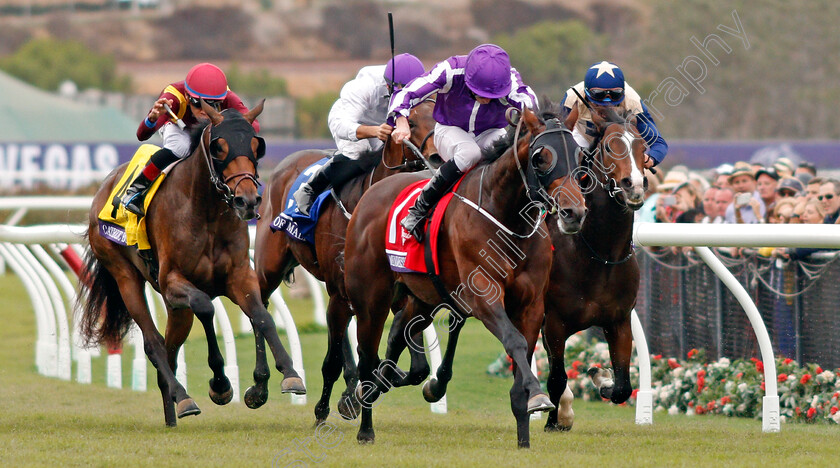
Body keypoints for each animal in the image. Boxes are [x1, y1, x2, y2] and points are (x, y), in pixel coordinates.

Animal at [78, 100, 306, 426]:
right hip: (125, 275)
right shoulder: (173, 281)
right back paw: (183, 397)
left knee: (170, 348)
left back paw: (171, 413)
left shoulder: (239, 276)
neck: (206, 212)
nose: (247, 200)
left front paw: (288, 374)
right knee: (153, 342)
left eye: (255, 145)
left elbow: (263, 316)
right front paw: (220, 384)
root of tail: (102, 188)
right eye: (219, 147)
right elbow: (206, 307)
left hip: (176, 310)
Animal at [342, 108, 584, 448]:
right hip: (370, 299)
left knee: (397, 335)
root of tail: (373, 193)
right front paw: (537, 395)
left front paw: (524, 434)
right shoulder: (483, 294)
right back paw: (365, 427)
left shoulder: (532, 303)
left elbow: (522, 349)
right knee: (366, 356)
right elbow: (514, 340)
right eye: (541, 157)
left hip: (423, 297)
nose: (574, 212)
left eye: (579, 154)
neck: (508, 220)